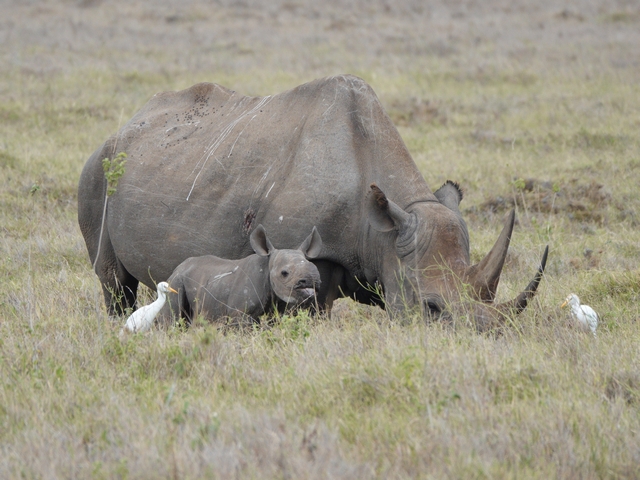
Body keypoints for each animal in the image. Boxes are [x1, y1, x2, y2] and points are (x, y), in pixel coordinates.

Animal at [157, 224, 322, 325]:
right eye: (284, 273)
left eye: (316, 269)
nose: (312, 281)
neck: (267, 266)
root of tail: (177, 268)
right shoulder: (239, 313)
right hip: (176, 281)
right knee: (172, 320)